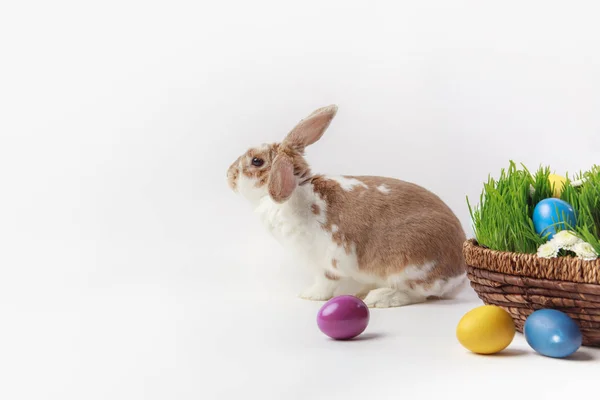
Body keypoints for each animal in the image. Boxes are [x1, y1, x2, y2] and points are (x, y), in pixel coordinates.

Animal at [227, 104, 466, 308]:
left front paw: (310, 295)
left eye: (256, 161)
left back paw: (378, 298)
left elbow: (325, 283)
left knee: (417, 294)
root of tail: (460, 274)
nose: (229, 176)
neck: (296, 190)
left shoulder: (327, 261)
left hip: (408, 266)